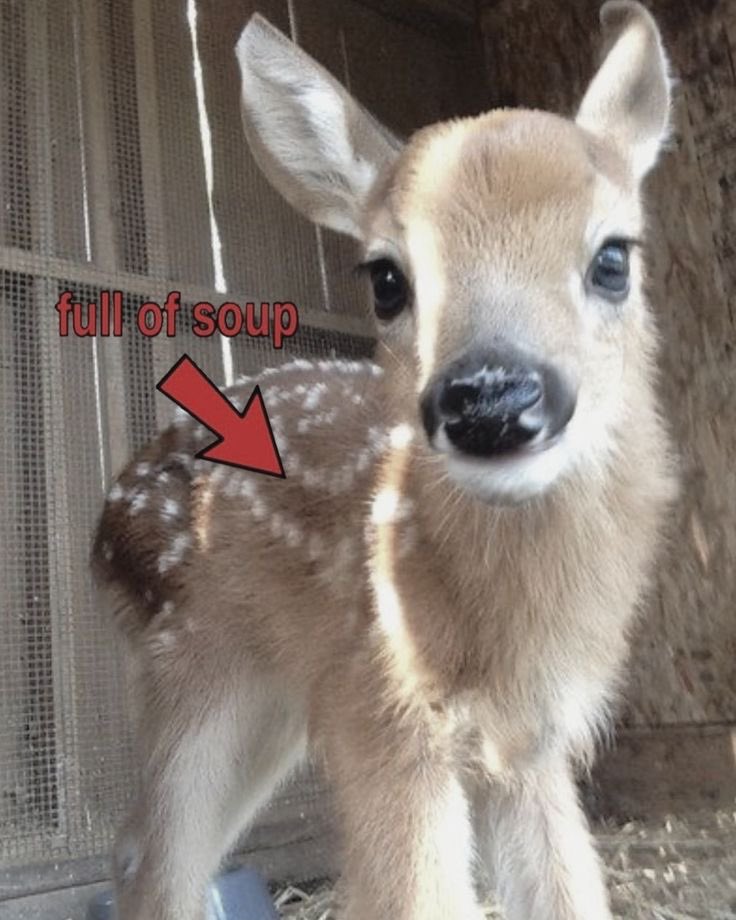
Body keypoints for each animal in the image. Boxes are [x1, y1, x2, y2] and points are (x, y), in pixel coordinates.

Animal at [92, 3, 677, 918]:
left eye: (614, 257)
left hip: (270, 706)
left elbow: (567, 890)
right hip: (196, 673)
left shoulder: (531, 740)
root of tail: (105, 520)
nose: (489, 401)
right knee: (153, 861)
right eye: (387, 280)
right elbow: (415, 895)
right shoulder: (382, 709)